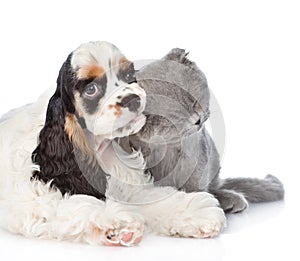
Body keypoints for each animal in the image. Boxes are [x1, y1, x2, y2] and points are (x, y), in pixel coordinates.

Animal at [0, 41, 225, 246]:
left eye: (128, 75)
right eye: (91, 89)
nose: (133, 99)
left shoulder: (129, 185)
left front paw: (197, 212)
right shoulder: (36, 198)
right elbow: (75, 206)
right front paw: (117, 223)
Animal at [118, 48, 284, 211]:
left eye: (192, 100)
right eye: (175, 116)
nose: (197, 119)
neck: (170, 149)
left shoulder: (199, 160)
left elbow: (197, 186)